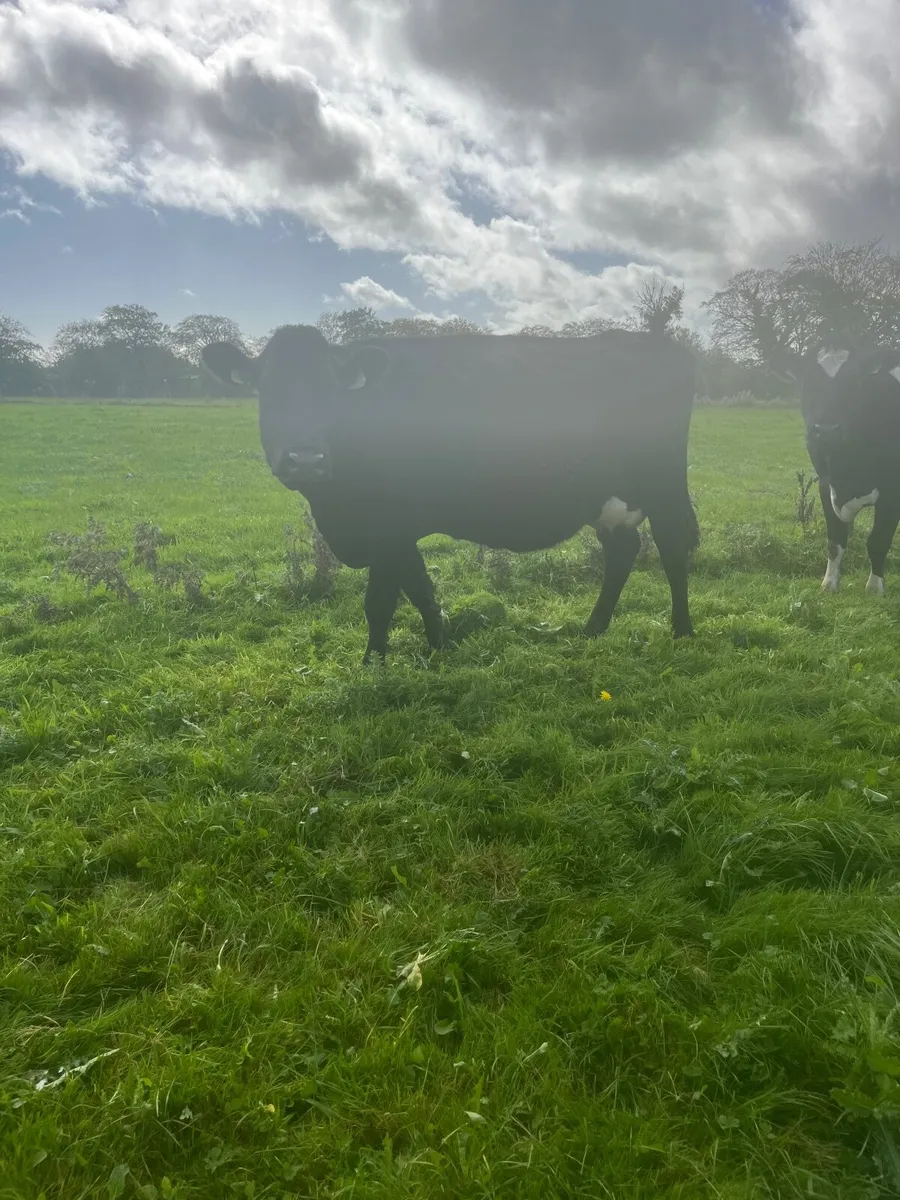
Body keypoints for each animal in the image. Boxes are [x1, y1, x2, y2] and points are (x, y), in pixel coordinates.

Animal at [202, 325, 699, 663]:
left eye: (332, 391)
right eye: (268, 389)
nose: (305, 458)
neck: (339, 510)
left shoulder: (389, 526)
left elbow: (379, 603)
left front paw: (373, 665)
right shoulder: (398, 532)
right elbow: (421, 589)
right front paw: (440, 647)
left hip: (664, 485)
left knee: (673, 549)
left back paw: (683, 631)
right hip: (609, 497)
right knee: (623, 550)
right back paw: (593, 629)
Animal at [774, 341, 900, 594]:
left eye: (854, 382)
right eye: (808, 382)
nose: (827, 430)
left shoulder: (892, 491)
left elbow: (878, 541)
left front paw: (874, 588)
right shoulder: (826, 484)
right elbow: (835, 540)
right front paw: (829, 583)